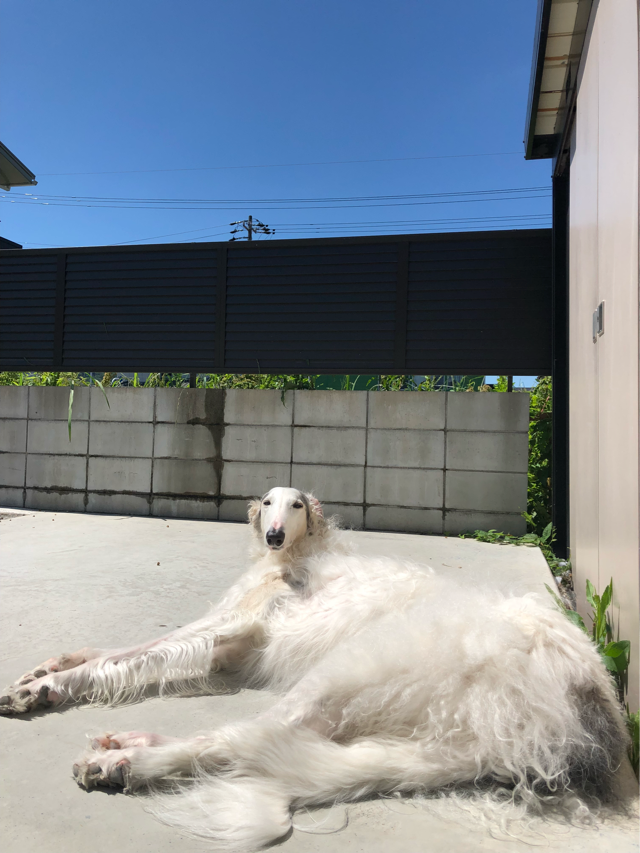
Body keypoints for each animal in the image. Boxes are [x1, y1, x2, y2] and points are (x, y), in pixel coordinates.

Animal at [0, 487, 629, 851]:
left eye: (296, 505)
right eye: (267, 504)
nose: (274, 534)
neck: (293, 557)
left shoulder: (227, 628)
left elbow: (124, 657)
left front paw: (48, 686)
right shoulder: (229, 650)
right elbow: (110, 651)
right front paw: (45, 670)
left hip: (351, 668)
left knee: (248, 734)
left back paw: (123, 761)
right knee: (256, 738)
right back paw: (128, 747)